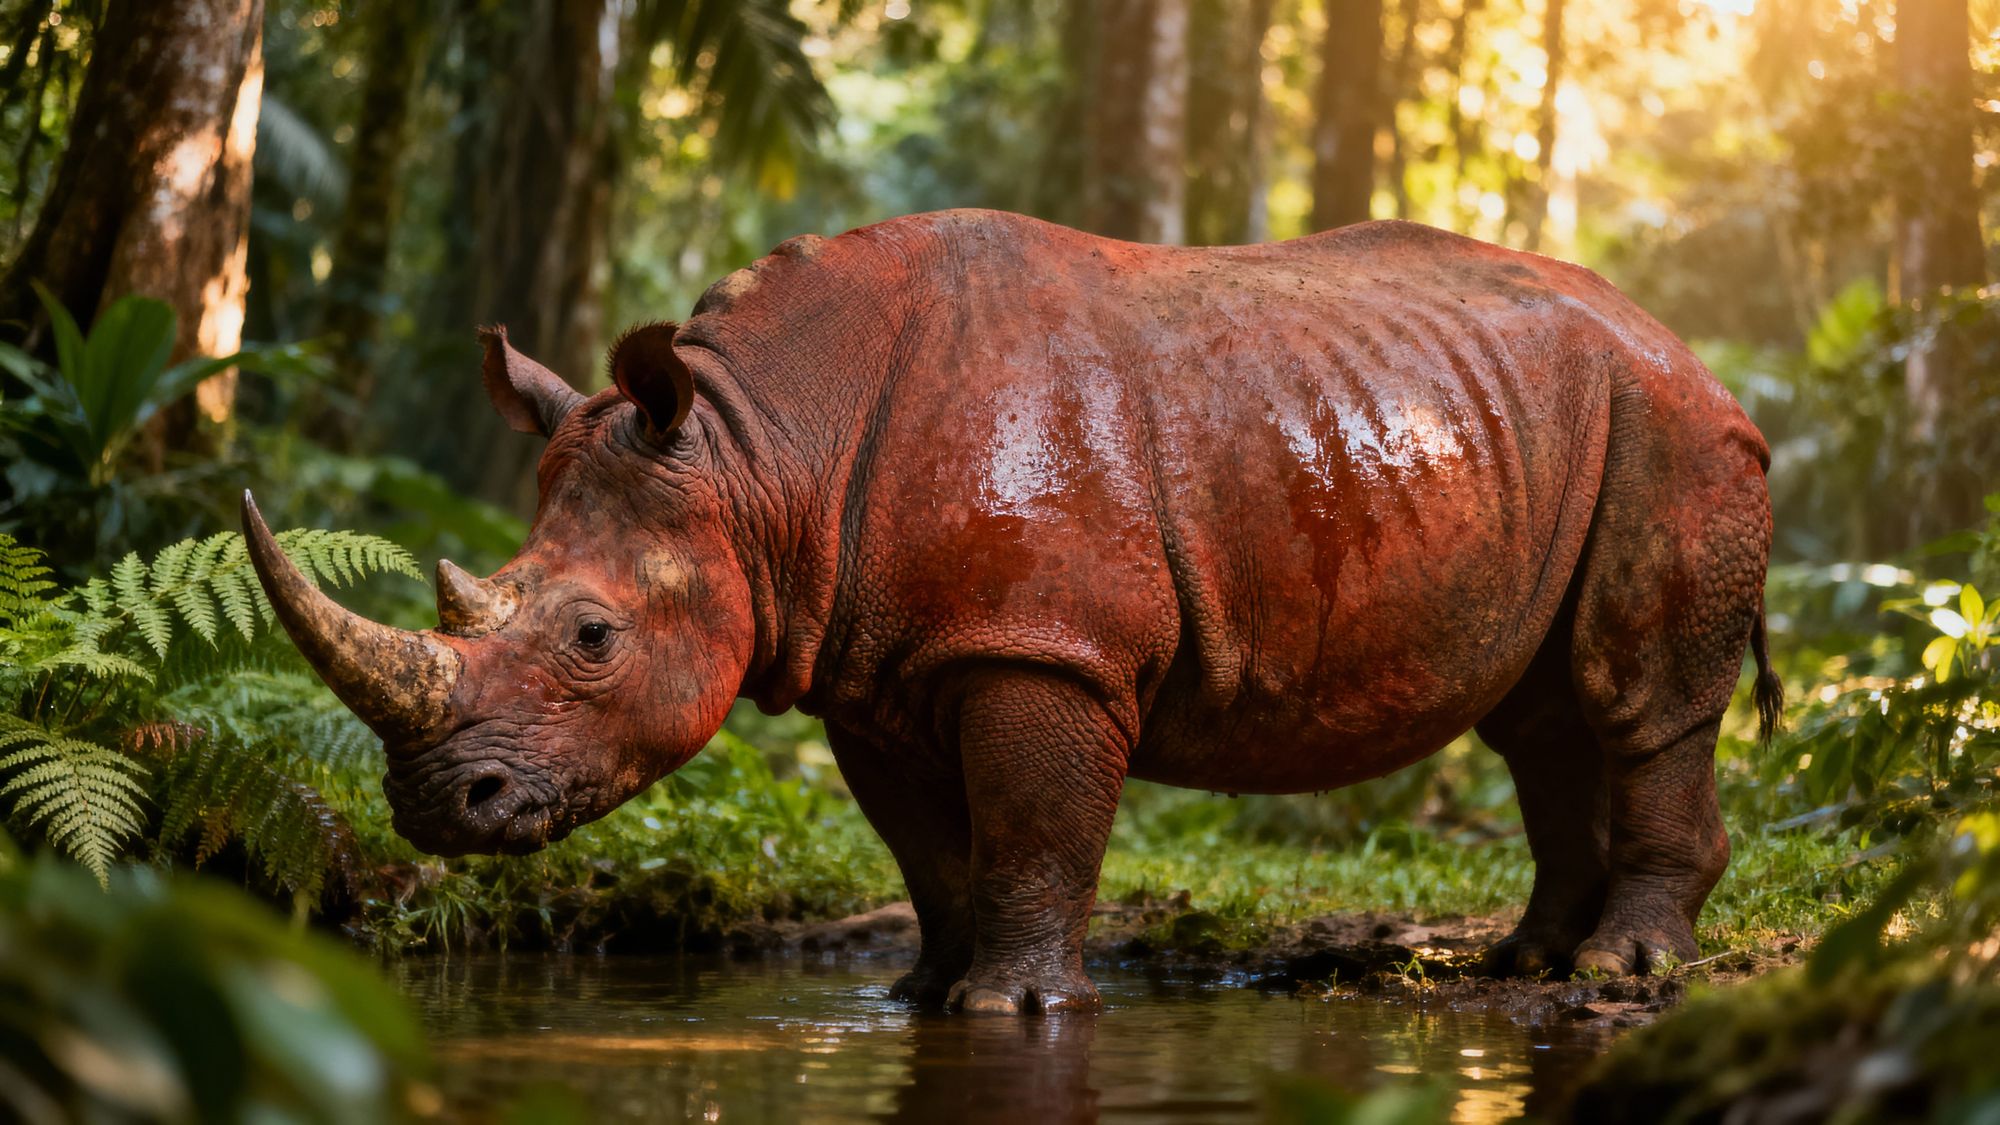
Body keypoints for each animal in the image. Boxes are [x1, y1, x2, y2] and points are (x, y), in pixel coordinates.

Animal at [245, 210, 1779, 1013]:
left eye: (590, 640)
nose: (437, 808)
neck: (754, 454)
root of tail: (1700, 359)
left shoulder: (1044, 649)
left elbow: (1037, 832)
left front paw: (1016, 1007)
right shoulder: (869, 666)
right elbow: (933, 851)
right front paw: (921, 998)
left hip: (1671, 437)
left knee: (1637, 701)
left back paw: (1626, 970)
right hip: (1561, 426)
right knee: (1545, 718)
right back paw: (1532, 958)